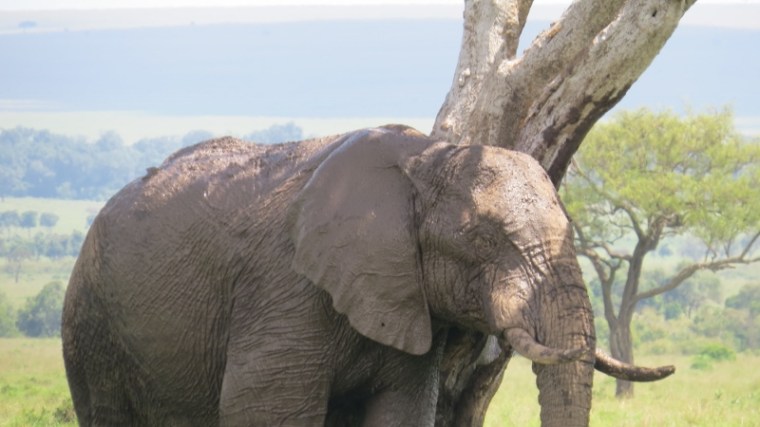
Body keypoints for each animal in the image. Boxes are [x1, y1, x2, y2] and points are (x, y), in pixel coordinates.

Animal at [62, 124, 674, 426]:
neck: (430, 158)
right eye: (483, 239)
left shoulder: (405, 298)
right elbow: (263, 412)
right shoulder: (284, 287)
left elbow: (401, 413)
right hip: (91, 323)